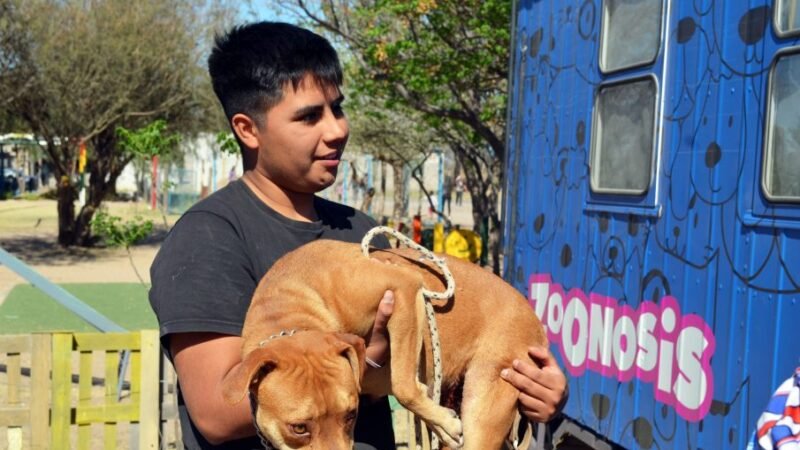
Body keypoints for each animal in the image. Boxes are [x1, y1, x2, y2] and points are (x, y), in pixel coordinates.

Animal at [222, 241, 548, 450]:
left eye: (351, 415)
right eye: (299, 428)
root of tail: (534, 318)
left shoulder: (402, 286)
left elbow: (404, 386)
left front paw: (442, 423)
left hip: (485, 408)